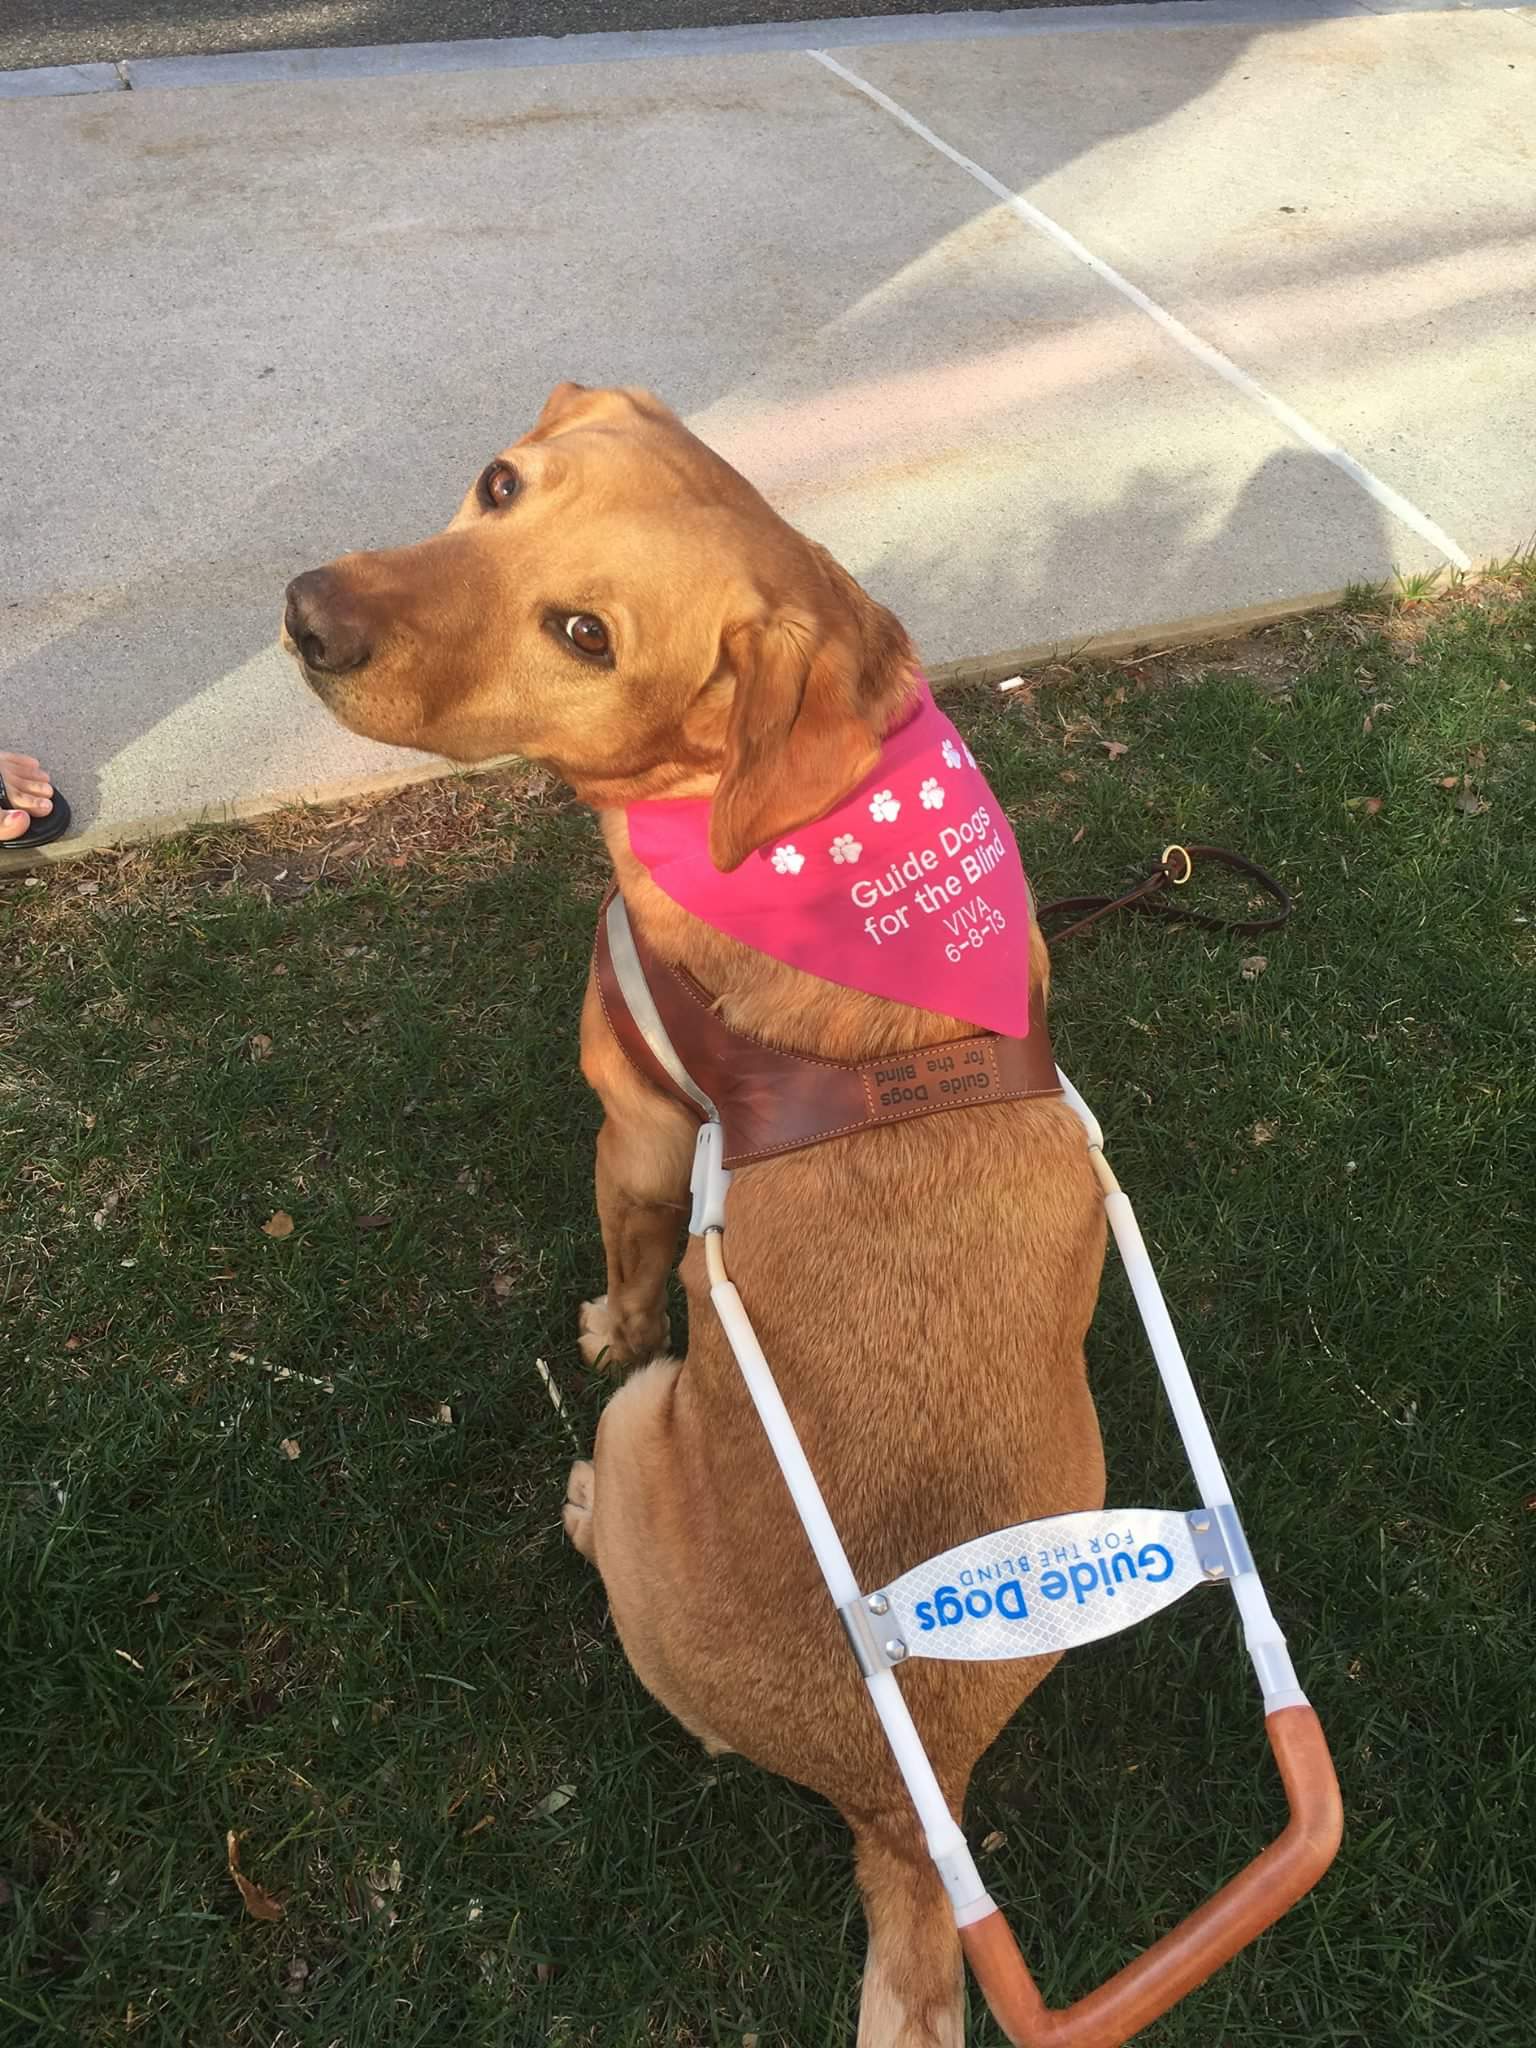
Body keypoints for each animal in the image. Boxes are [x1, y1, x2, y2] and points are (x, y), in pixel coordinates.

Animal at [286, 387, 1105, 2048]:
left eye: (585, 632)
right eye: (498, 486)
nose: (305, 617)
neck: (798, 815)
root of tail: (907, 1816)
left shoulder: (642, 1132)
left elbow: (633, 1271)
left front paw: (605, 1316)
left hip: (644, 1439)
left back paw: (582, 1508)